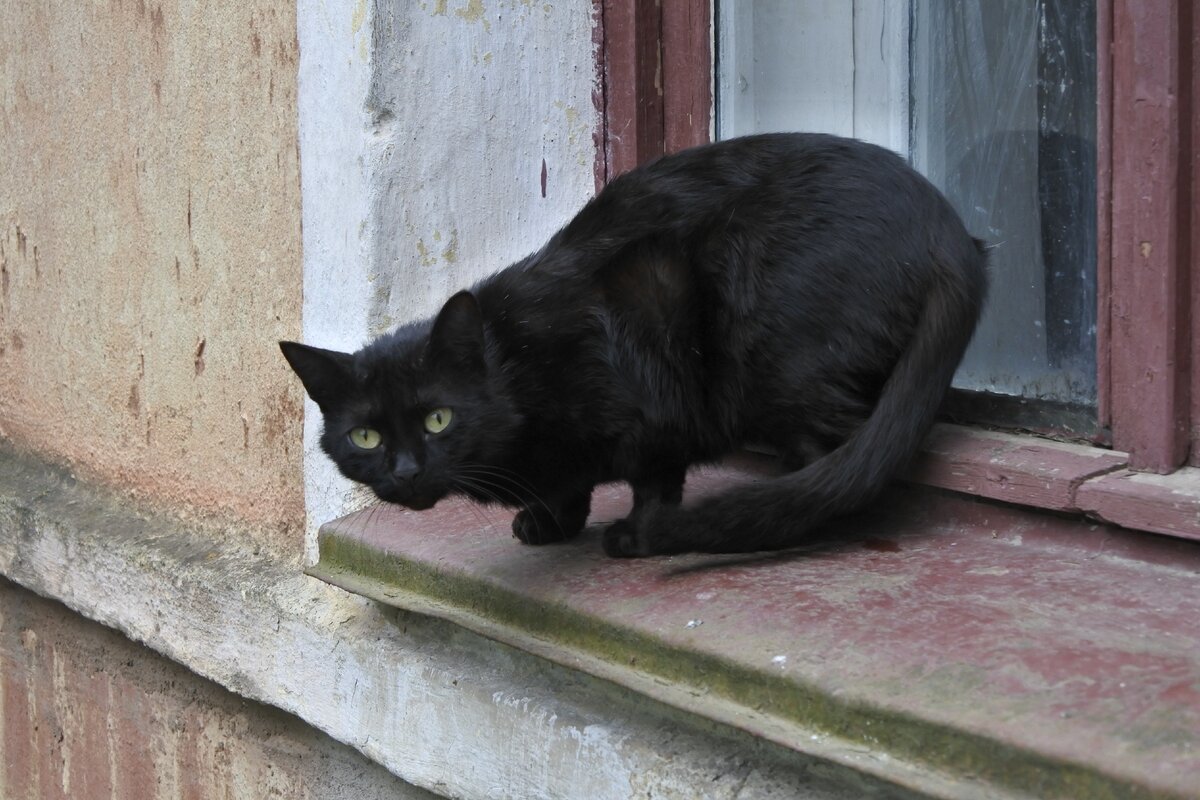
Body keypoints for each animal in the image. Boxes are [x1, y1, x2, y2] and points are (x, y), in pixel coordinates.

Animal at [280, 133, 984, 556]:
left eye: (438, 418)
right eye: (365, 436)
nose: (404, 471)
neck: (517, 367)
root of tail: (949, 232)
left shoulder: (652, 400)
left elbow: (652, 479)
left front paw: (639, 536)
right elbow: (565, 487)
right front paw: (551, 523)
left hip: (770, 351)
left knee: (850, 459)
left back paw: (782, 522)